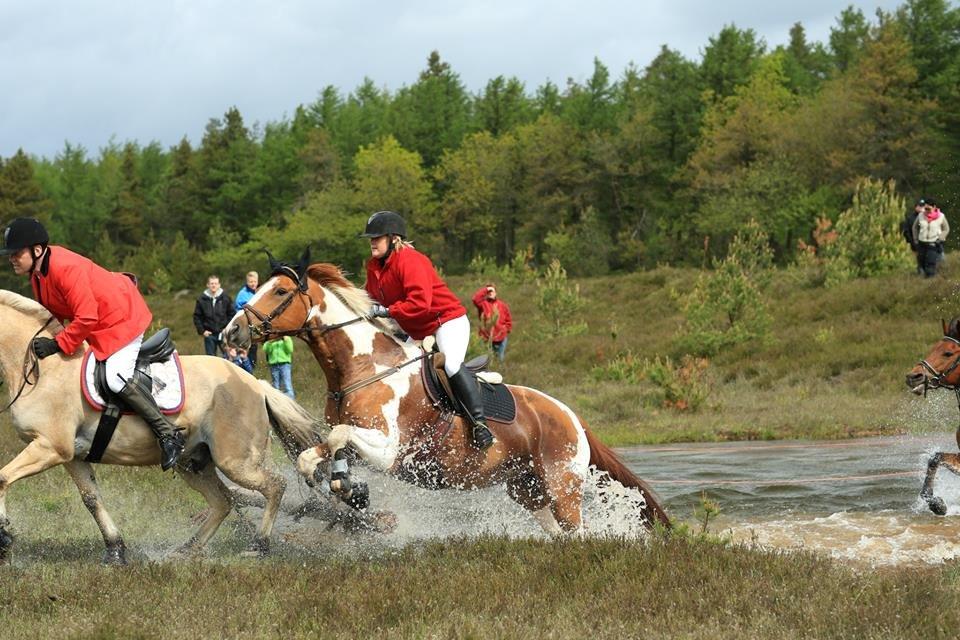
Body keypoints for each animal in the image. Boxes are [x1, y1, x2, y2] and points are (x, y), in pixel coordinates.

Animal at [0, 290, 324, 564]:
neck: (42, 369)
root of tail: (254, 383)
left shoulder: (49, 447)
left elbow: (2, 478)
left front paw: (4, 534)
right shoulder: (71, 455)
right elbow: (92, 499)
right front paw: (115, 550)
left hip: (235, 461)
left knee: (273, 486)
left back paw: (259, 546)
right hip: (192, 461)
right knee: (223, 501)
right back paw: (187, 549)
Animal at [222, 258, 672, 532]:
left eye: (280, 292)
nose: (231, 333)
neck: (362, 367)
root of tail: (571, 416)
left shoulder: (388, 449)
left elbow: (336, 437)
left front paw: (351, 494)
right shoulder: (358, 444)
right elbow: (315, 453)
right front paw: (348, 493)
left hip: (563, 487)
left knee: (577, 530)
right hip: (528, 490)